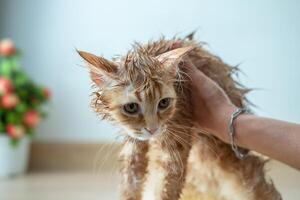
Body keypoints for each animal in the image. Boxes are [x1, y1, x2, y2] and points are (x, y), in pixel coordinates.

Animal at [79, 35, 282, 199]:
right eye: (131, 107)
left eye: (163, 103)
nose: (152, 129)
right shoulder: (132, 143)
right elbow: (130, 182)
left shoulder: (177, 140)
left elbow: (167, 187)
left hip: (227, 158)